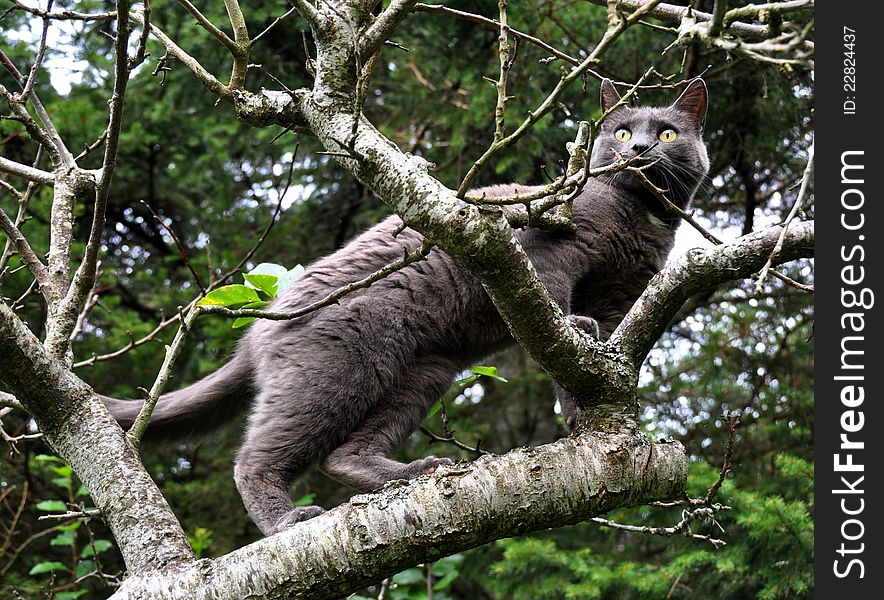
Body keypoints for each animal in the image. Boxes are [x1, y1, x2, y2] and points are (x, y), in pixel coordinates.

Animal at [103, 76, 712, 536]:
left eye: (666, 132)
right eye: (621, 131)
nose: (638, 150)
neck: (640, 216)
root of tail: (257, 331)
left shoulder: (622, 297)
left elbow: (590, 362)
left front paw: (583, 413)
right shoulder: (549, 247)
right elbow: (552, 306)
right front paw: (573, 329)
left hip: (422, 372)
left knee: (342, 454)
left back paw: (415, 471)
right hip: (338, 367)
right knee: (257, 457)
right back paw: (285, 520)